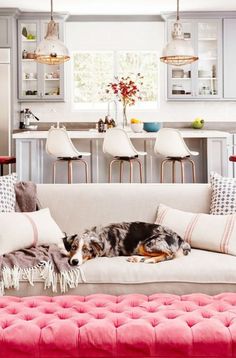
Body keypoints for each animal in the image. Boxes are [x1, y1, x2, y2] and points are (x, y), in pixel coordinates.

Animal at [62, 221, 190, 266]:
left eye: (85, 250)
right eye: (73, 247)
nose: (74, 262)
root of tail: (180, 238)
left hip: (148, 243)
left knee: (169, 255)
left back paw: (150, 260)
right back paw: (137, 258)